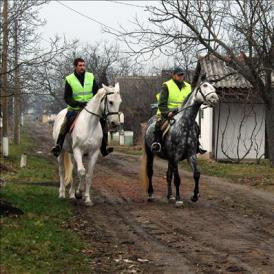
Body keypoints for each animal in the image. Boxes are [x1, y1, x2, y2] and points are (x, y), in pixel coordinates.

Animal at [140, 76, 219, 207]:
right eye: (204, 86)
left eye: (213, 87)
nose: (215, 99)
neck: (185, 126)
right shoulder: (175, 156)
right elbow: (177, 179)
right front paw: (178, 199)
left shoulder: (191, 155)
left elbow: (196, 174)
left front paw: (194, 196)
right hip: (151, 153)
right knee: (150, 172)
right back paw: (151, 195)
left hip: (169, 159)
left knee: (168, 175)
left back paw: (170, 196)